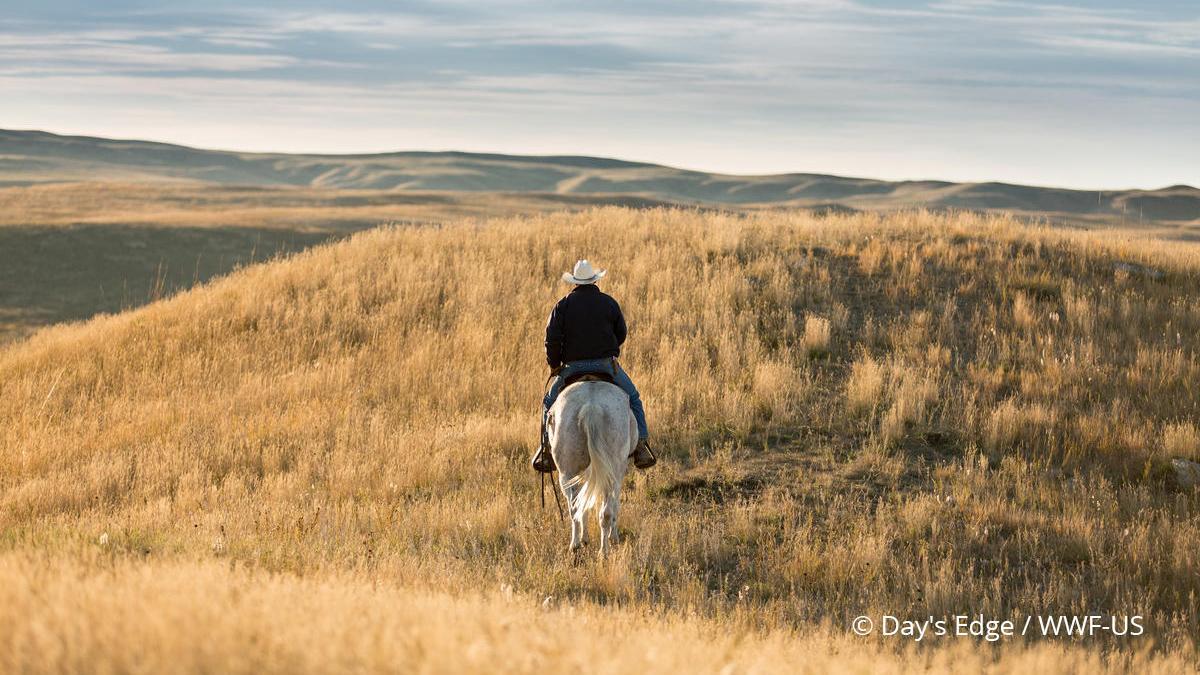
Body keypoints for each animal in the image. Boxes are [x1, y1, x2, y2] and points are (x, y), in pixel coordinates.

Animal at [549, 372, 638, 552]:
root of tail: (592, 407)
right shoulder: (620, 471)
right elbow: (615, 504)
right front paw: (613, 536)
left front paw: (585, 538)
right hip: (612, 472)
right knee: (606, 511)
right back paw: (604, 550)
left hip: (567, 473)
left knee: (575, 509)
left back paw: (575, 545)